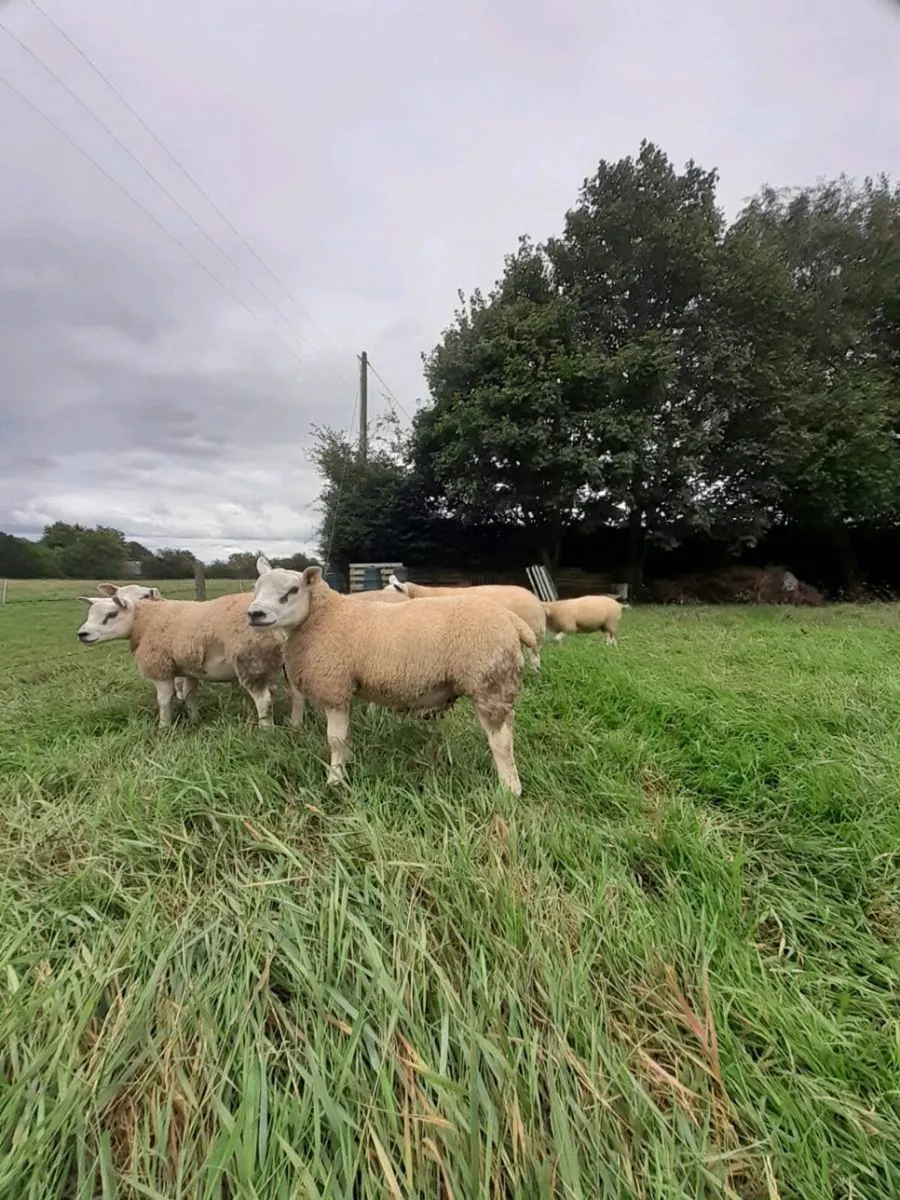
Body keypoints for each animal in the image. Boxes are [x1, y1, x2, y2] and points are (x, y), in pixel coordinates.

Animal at [75, 590, 306, 728]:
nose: (82, 634)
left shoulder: (161, 669)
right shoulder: (189, 668)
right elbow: (189, 695)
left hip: (251, 661)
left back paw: (266, 730)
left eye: (111, 614)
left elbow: (164, 701)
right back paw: (295, 724)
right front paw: (194, 720)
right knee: (297, 694)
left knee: (264, 701)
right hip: (289, 661)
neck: (145, 621)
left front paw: (164, 728)